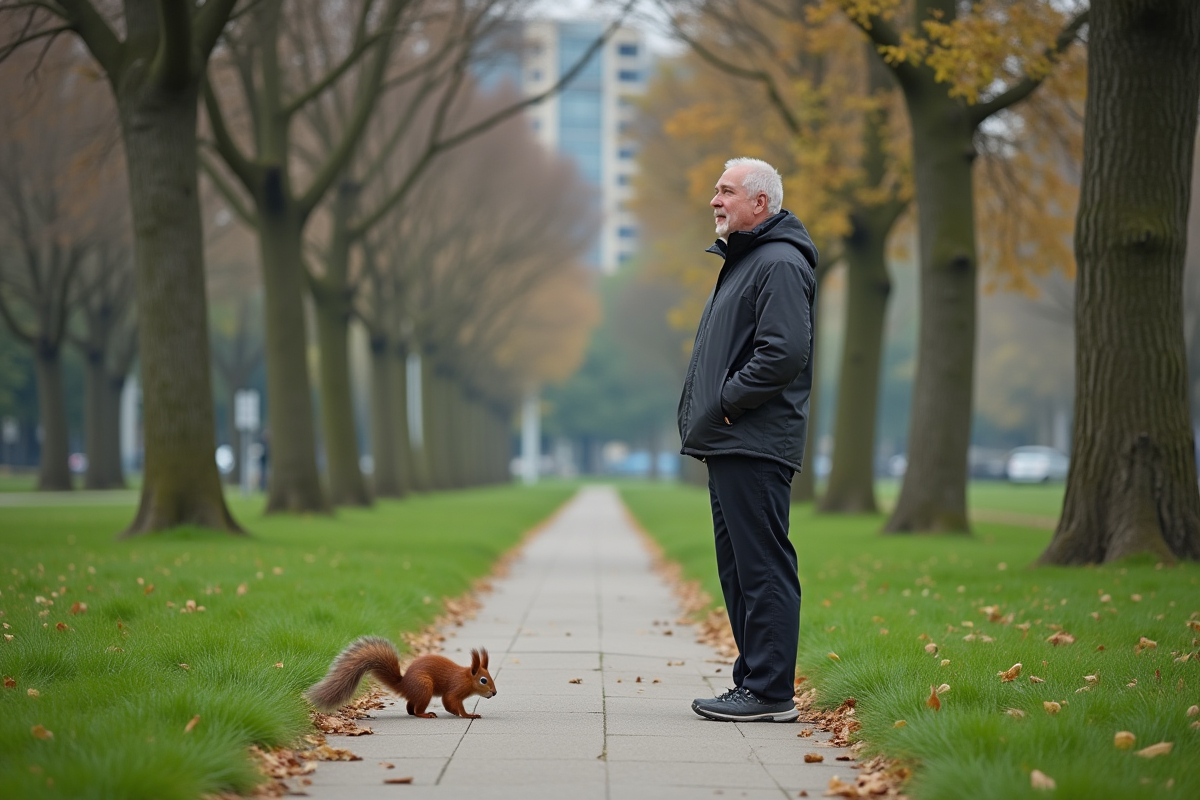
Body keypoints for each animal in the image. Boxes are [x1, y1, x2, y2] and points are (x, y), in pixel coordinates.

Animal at [305, 636, 497, 719]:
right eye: (483, 680)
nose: (494, 693)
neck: (466, 678)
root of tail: (404, 684)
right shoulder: (455, 689)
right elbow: (450, 701)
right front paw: (467, 714)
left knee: (410, 705)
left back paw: (413, 712)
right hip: (425, 686)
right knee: (417, 708)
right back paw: (425, 714)